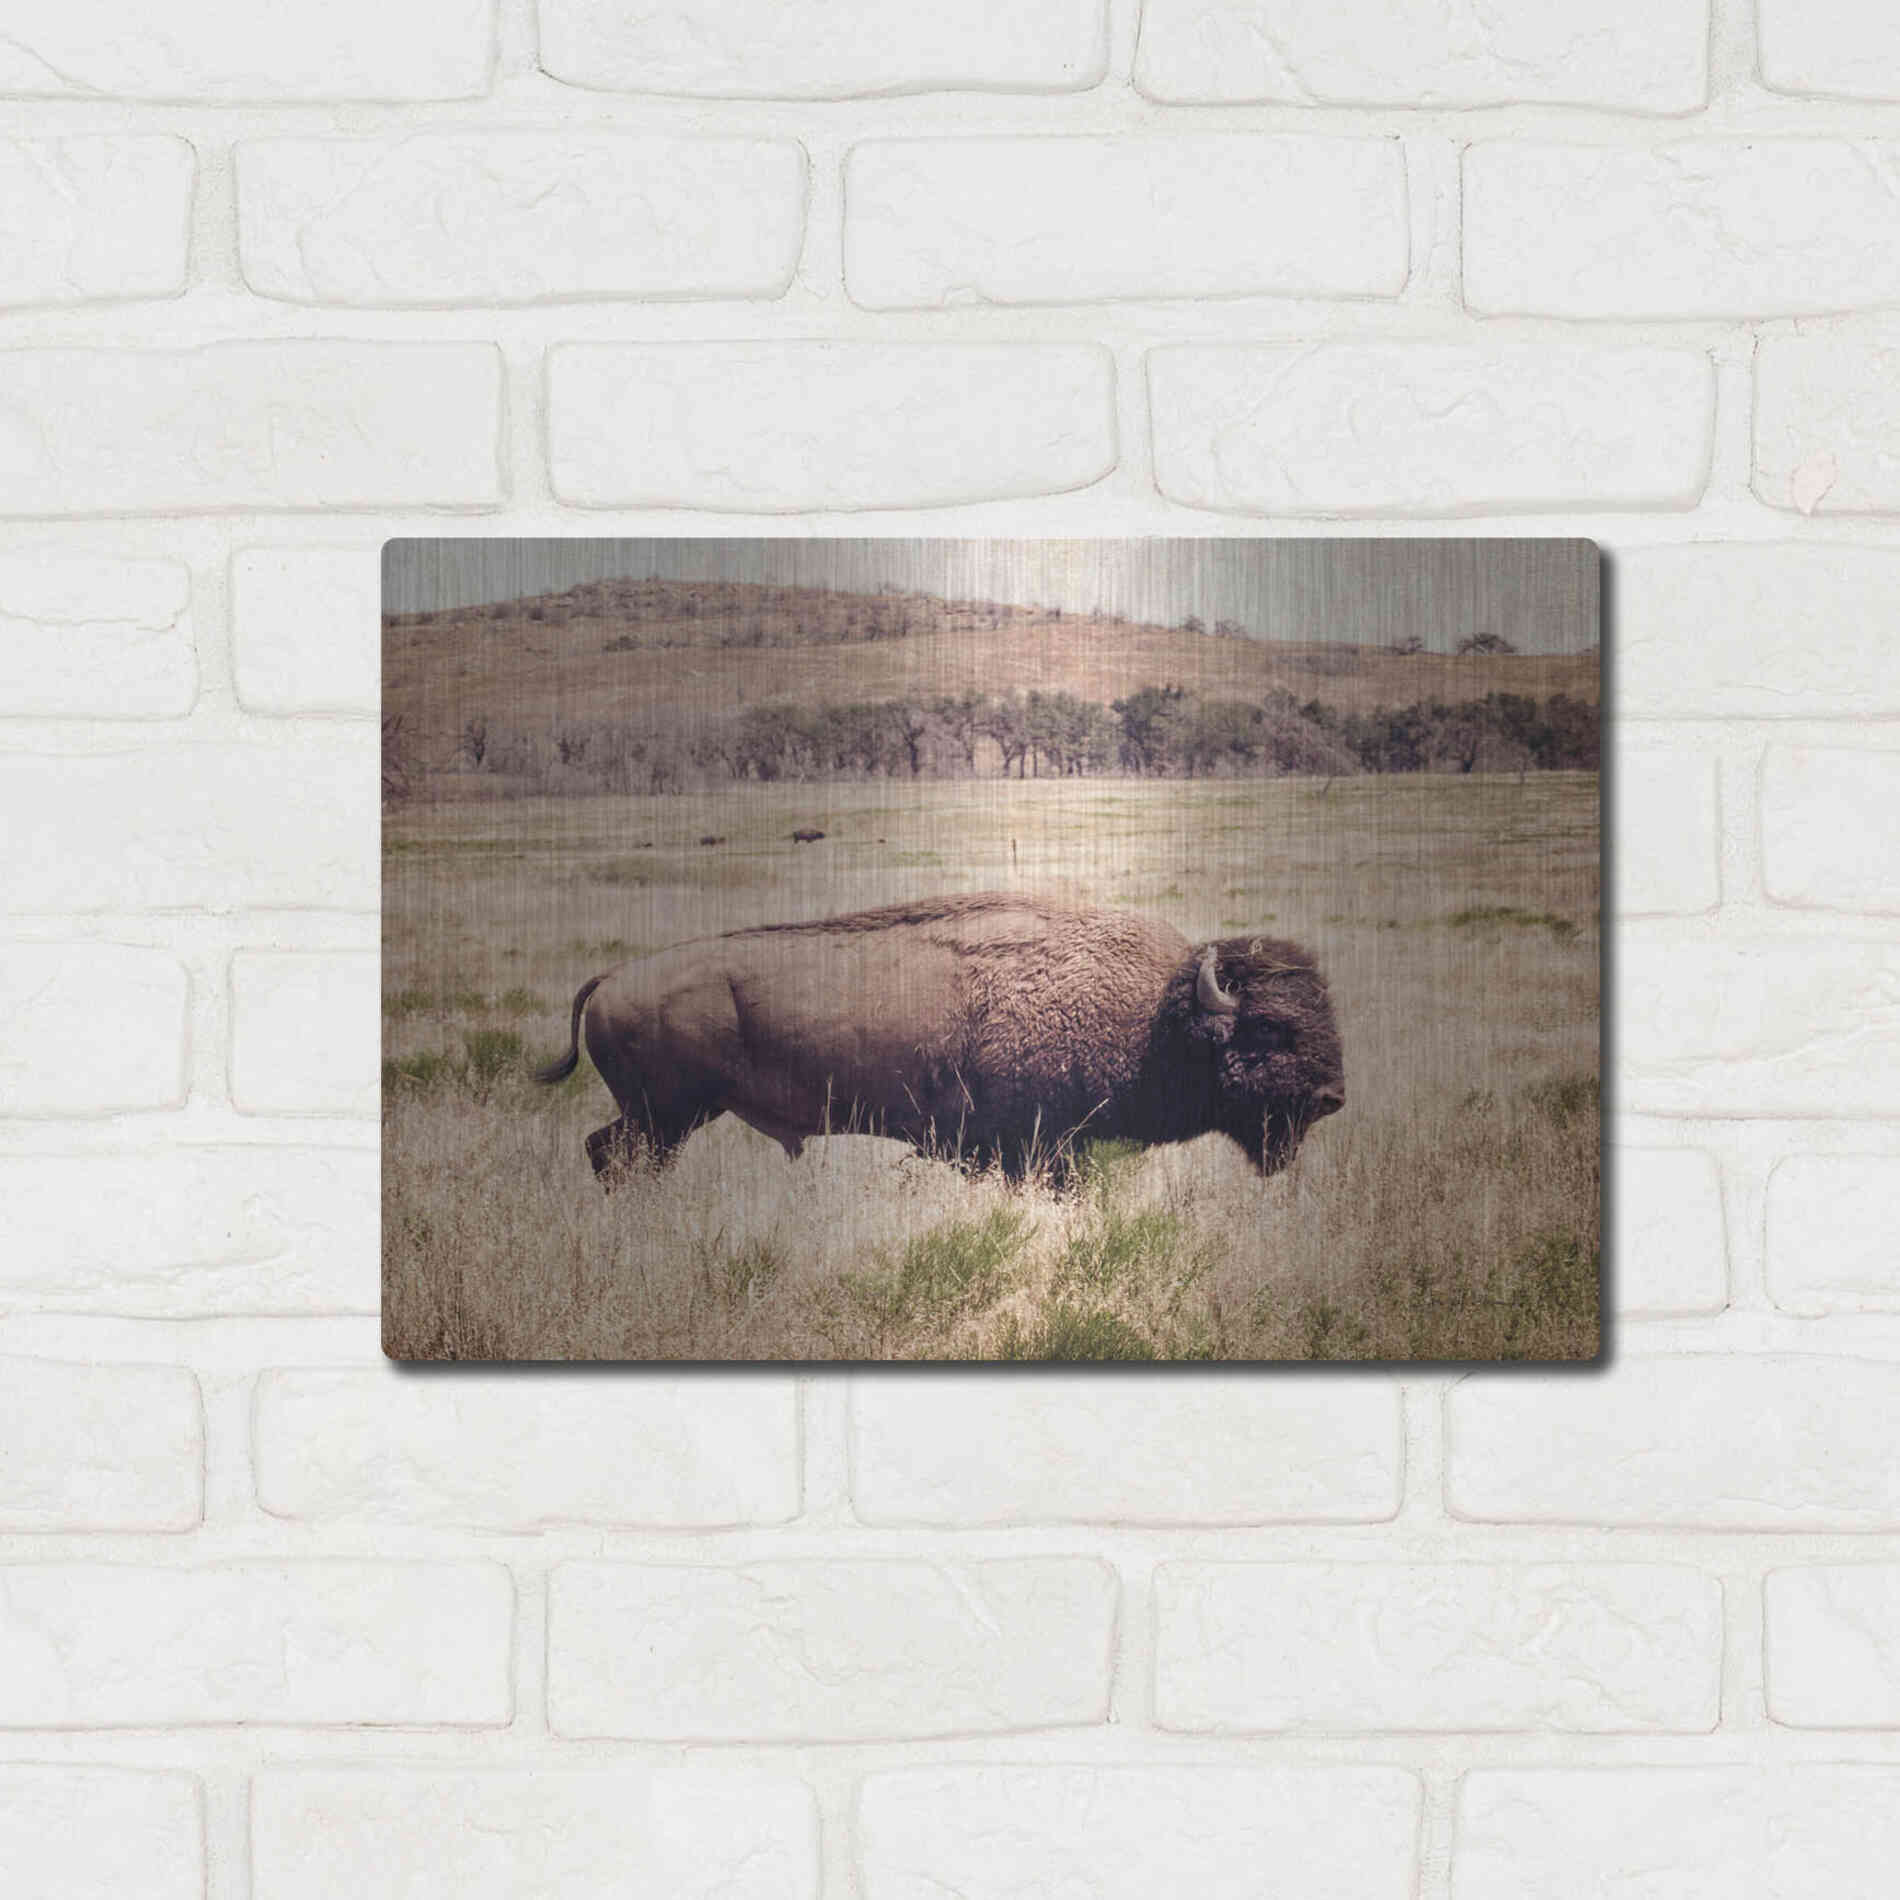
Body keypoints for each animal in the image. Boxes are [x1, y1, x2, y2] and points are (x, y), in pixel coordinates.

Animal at [536, 892, 1343, 1184]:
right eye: (1269, 1028)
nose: (1332, 1096)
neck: (1155, 1016)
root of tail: (613, 977)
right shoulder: (1036, 1151)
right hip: (667, 1117)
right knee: (618, 1156)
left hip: (662, 1118)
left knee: (604, 1150)